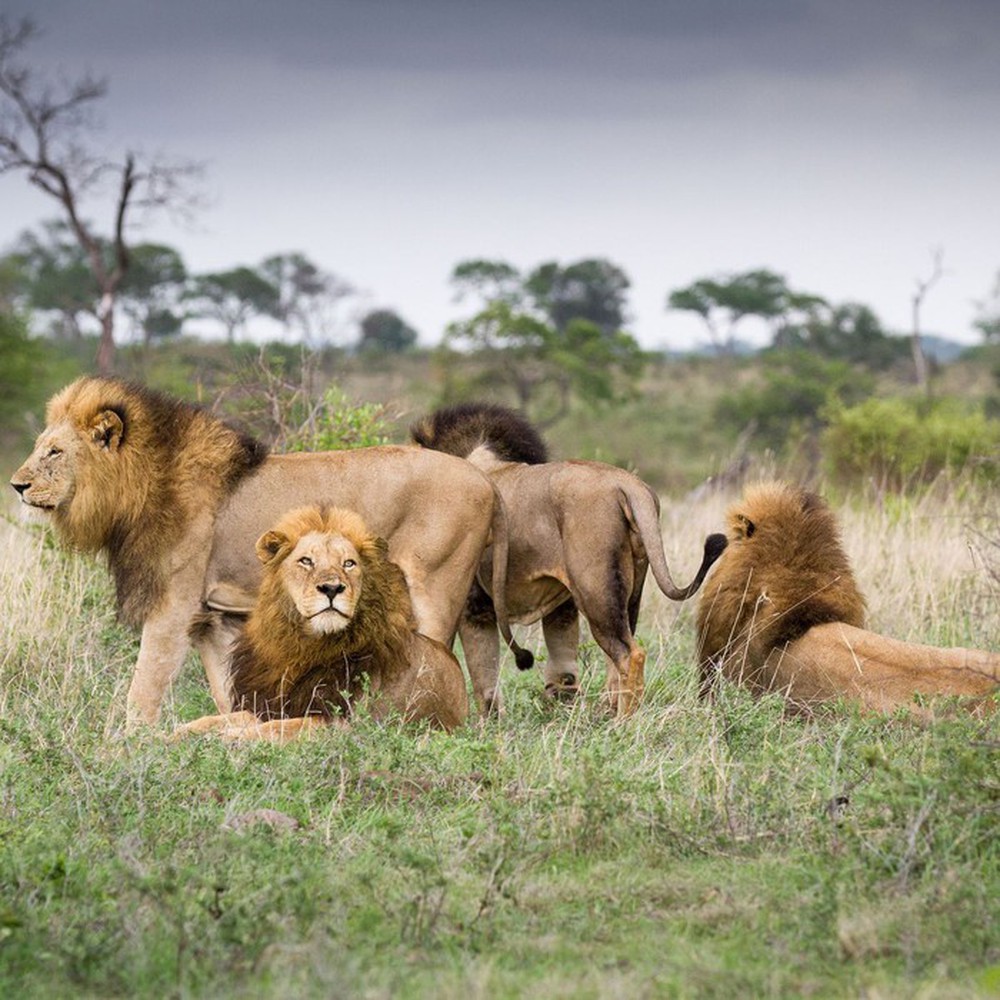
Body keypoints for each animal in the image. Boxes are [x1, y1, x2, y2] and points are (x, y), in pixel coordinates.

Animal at [172, 508, 468, 744]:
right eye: (306, 561)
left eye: (349, 563)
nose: (332, 588)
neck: (303, 646)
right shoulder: (266, 703)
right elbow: (218, 719)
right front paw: (172, 734)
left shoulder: (340, 722)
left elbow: (280, 728)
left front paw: (230, 738)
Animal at [408, 402, 728, 716]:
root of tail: (628, 484)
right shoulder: (560, 608)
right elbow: (562, 668)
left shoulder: (473, 607)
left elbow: (479, 676)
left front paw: (483, 723)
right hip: (630, 590)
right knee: (617, 657)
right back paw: (607, 712)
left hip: (595, 590)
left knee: (630, 654)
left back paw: (623, 722)